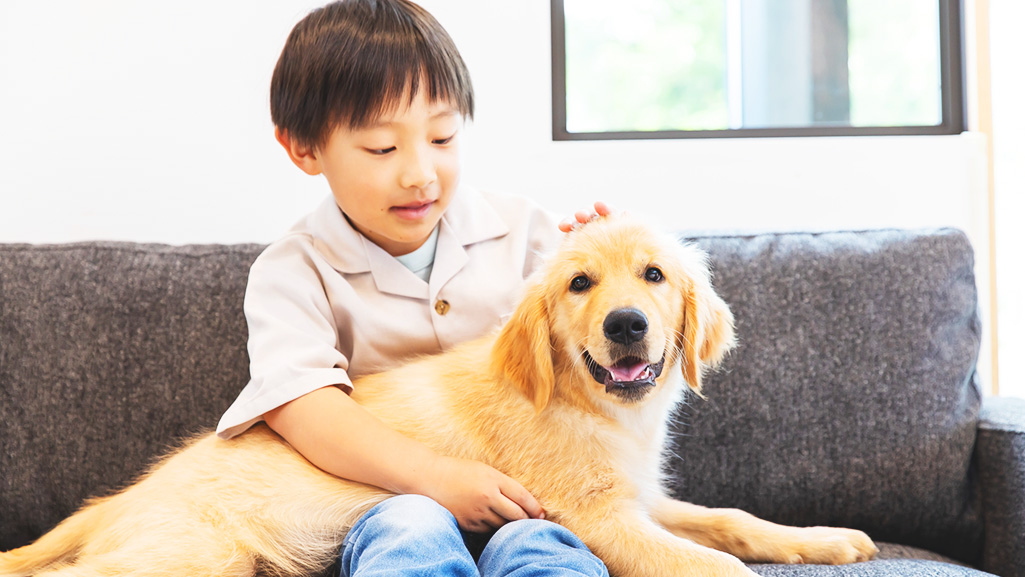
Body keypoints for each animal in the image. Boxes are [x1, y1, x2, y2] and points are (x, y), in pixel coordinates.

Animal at [2, 218, 873, 577]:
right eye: (579, 283)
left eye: (653, 276)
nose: (625, 325)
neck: (587, 405)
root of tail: (120, 498)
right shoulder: (596, 517)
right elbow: (713, 563)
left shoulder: (637, 500)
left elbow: (734, 521)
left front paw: (824, 538)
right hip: (194, 554)